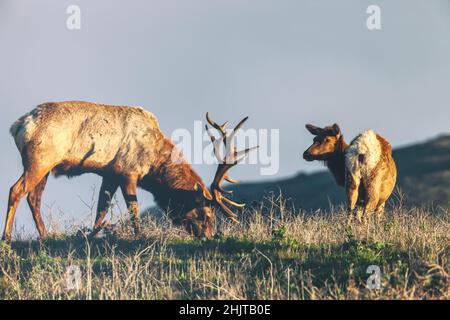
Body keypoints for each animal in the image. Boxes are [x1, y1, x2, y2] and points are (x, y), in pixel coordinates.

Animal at [0, 101, 256, 244]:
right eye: (205, 212)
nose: (208, 236)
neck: (154, 163)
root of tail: (19, 126)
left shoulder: (109, 175)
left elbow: (101, 209)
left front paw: (92, 235)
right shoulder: (127, 172)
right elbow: (133, 207)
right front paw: (139, 236)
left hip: (45, 166)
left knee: (34, 198)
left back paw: (45, 236)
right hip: (39, 160)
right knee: (16, 190)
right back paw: (7, 237)